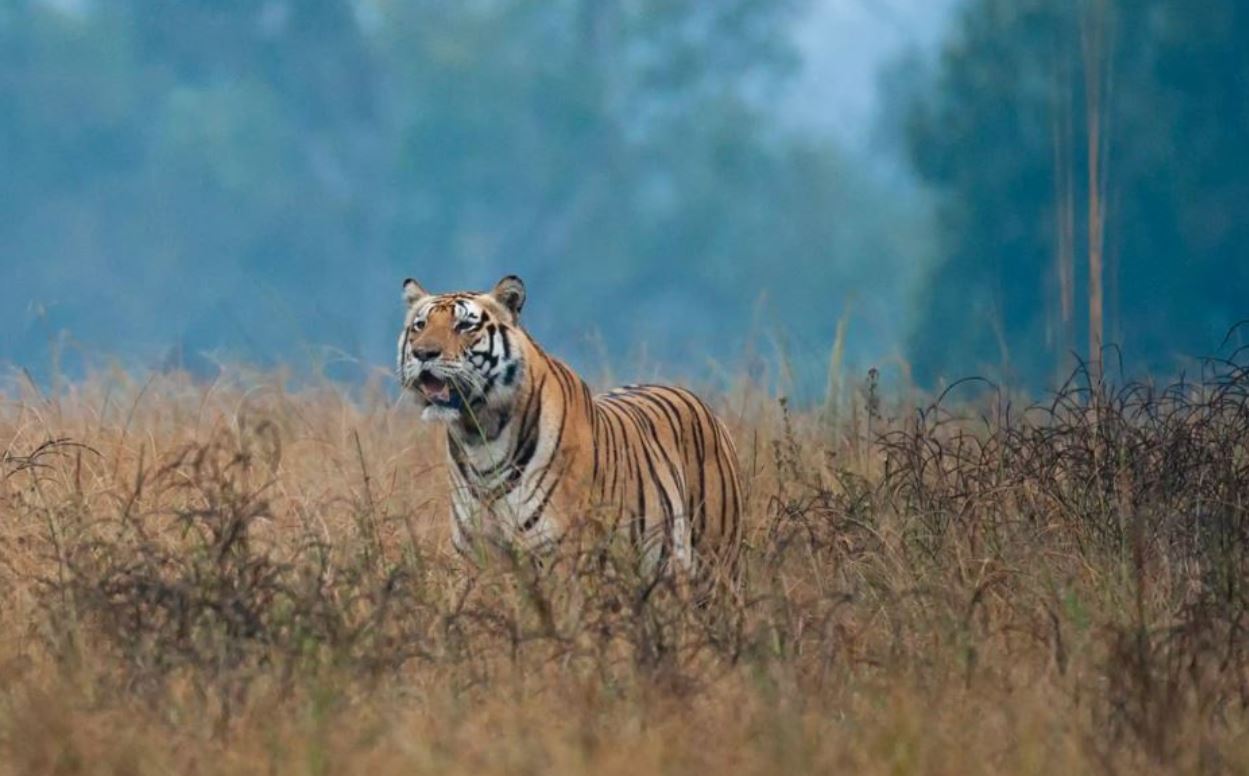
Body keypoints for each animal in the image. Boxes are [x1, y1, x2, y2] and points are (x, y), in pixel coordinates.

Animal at [397, 274, 743, 593]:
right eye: (420, 325)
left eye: (465, 326)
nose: (423, 353)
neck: (480, 435)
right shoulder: (476, 558)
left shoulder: (559, 554)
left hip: (714, 566)